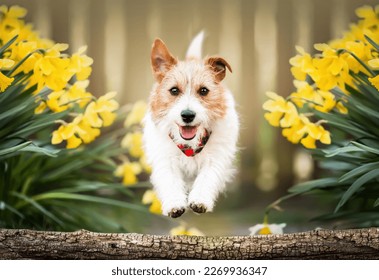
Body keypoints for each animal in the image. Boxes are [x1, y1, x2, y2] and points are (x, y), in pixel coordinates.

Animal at [144, 31, 239, 218]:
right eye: (174, 90)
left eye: (204, 91)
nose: (187, 115)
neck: (189, 146)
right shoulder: (166, 159)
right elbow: (170, 180)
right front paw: (174, 203)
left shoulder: (215, 158)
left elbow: (207, 178)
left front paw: (200, 200)